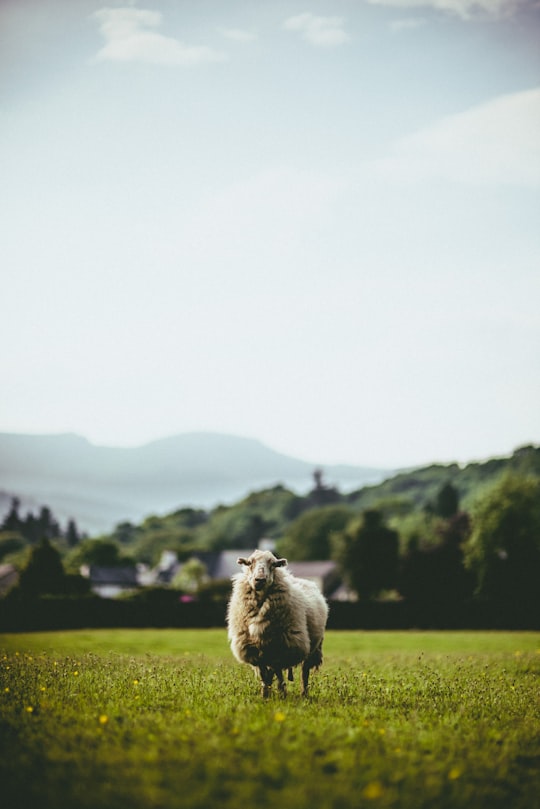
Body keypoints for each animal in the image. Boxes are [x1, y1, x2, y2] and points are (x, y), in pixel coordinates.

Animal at [225, 548, 326, 696]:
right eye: (250, 563)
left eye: (273, 564)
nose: (259, 580)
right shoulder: (255, 649)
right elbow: (265, 673)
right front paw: (265, 695)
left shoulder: (280, 647)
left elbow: (274, 671)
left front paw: (276, 690)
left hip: (313, 647)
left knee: (304, 672)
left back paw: (303, 693)